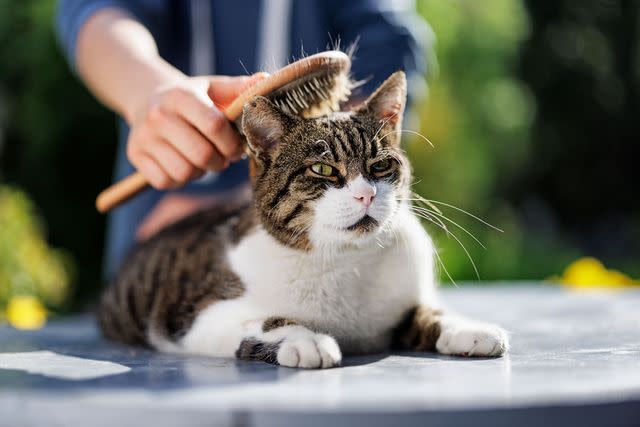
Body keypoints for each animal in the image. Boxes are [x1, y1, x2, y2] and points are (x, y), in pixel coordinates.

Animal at [99, 72, 510, 370]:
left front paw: (468, 327)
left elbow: (428, 312)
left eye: (380, 166)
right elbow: (264, 320)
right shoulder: (195, 316)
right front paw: (306, 339)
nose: (367, 194)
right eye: (323, 169)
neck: (345, 260)